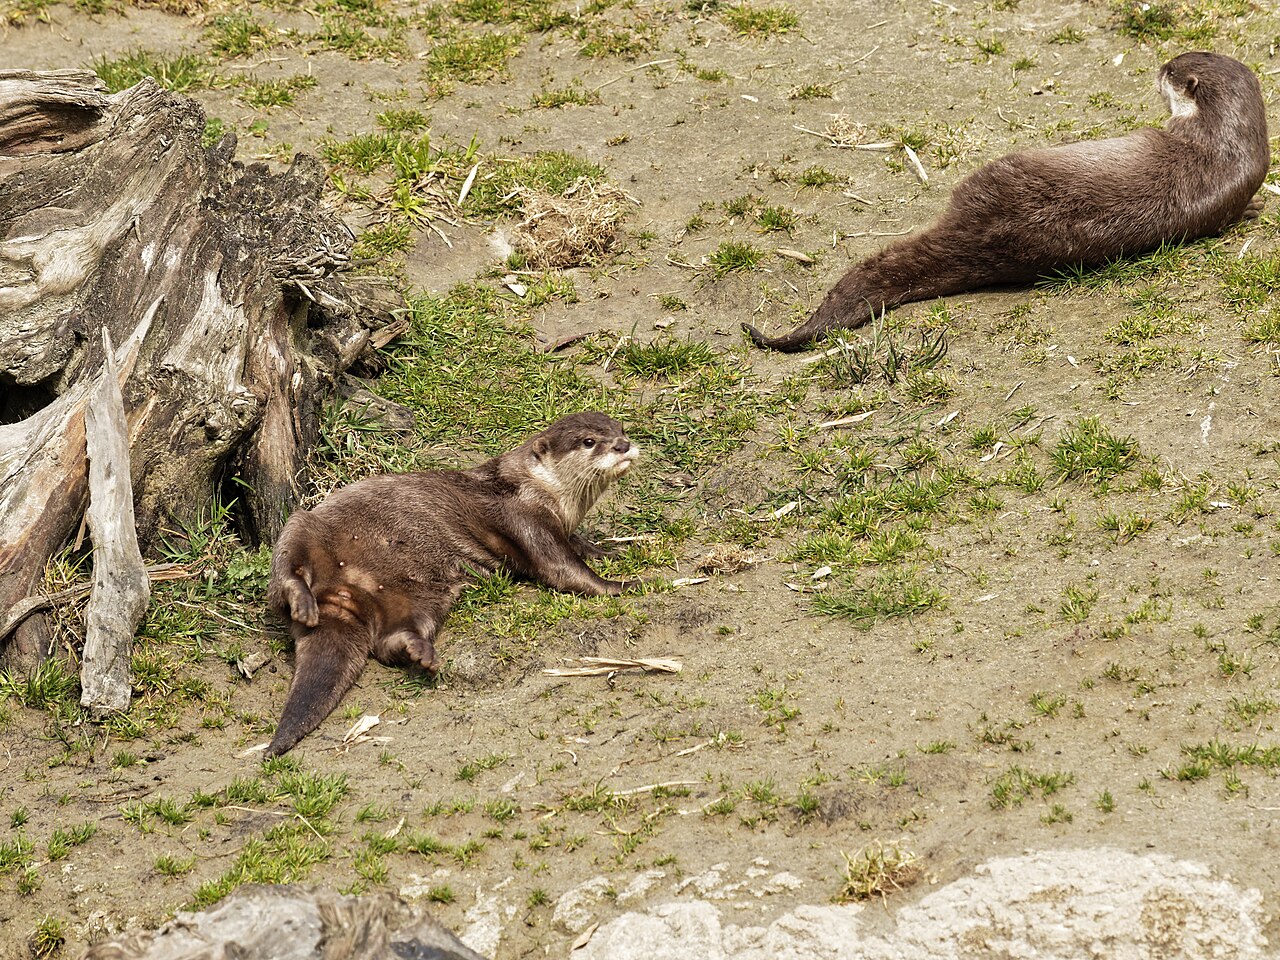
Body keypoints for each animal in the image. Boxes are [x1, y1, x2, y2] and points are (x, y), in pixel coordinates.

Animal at [263, 412, 640, 757]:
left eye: (620, 429)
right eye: (589, 441)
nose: (622, 445)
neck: (547, 495)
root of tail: (343, 593)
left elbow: (579, 546)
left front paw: (612, 550)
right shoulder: (526, 518)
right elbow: (561, 568)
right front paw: (621, 584)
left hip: (420, 597)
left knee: (390, 641)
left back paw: (418, 650)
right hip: (304, 526)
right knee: (287, 570)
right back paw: (301, 600)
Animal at [744, 51, 1270, 352]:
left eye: (1172, 72)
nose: (1159, 66)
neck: (1224, 141)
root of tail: (986, 235)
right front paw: (1253, 208)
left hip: (995, 174)